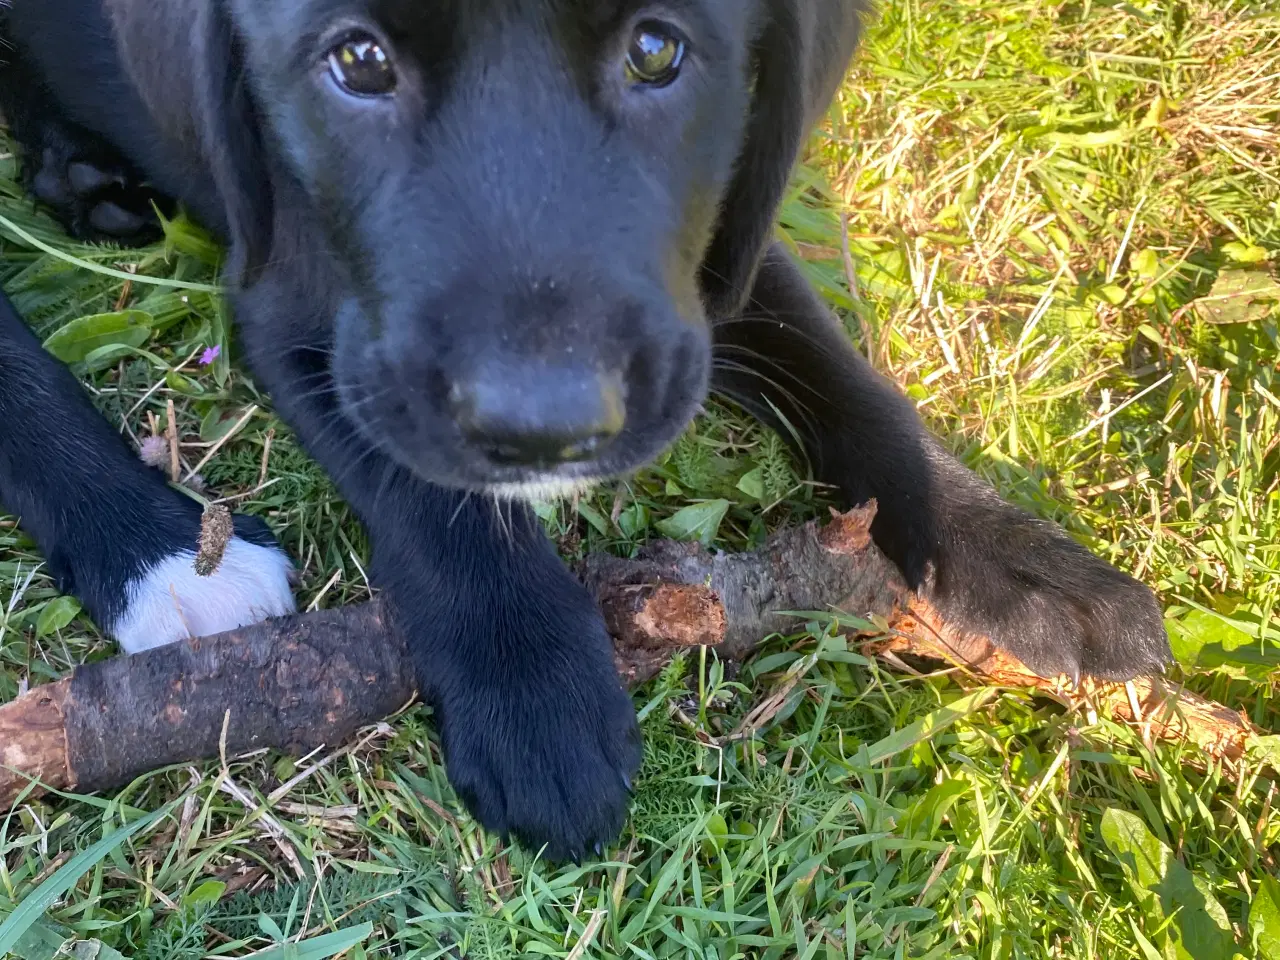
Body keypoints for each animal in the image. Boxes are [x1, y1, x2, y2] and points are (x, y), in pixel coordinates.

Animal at [0, 0, 1172, 855]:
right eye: (357, 61)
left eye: (658, 49)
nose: (552, 426)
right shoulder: (301, 305)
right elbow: (436, 489)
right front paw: (534, 690)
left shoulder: (712, 253)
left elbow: (851, 382)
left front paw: (1021, 564)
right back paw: (154, 550)